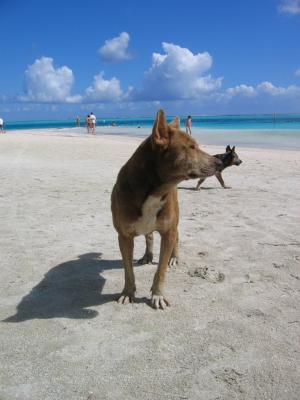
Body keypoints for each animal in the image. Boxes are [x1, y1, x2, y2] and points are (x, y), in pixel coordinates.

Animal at [111, 109, 221, 310]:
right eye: (191, 147)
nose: (219, 162)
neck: (155, 189)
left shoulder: (168, 232)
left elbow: (161, 269)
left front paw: (158, 295)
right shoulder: (124, 236)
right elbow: (128, 270)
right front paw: (128, 292)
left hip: (175, 220)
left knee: (177, 237)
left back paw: (174, 257)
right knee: (149, 236)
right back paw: (147, 255)